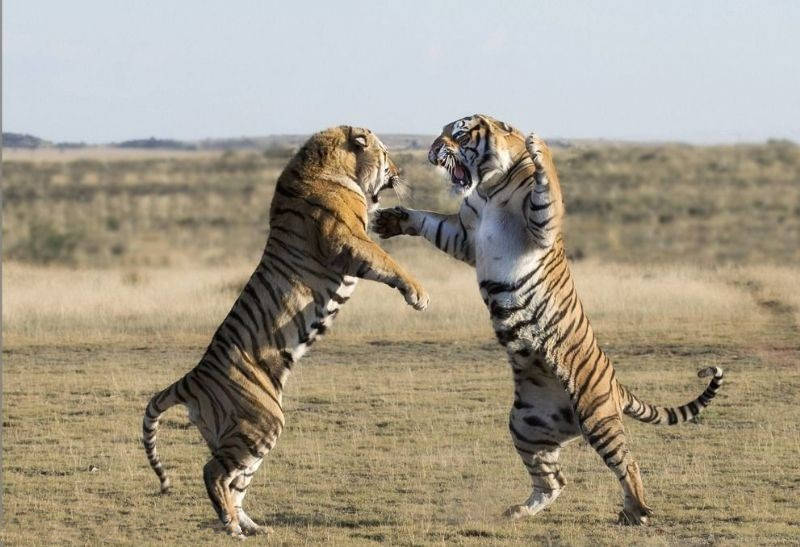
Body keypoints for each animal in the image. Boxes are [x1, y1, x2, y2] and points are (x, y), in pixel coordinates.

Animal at [142, 125, 429, 538]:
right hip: (262, 421)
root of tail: (193, 377)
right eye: (386, 153)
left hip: (244, 434)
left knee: (236, 482)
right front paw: (418, 294)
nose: (400, 170)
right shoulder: (346, 241)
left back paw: (252, 526)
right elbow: (388, 262)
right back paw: (231, 526)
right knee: (214, 473)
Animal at [373, 114, 724, 525]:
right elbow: (432, 222)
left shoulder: (539, 223)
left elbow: (549, 186)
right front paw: (391, 220)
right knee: (554, 481)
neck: (487, 188)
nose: (432, 147)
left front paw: (538, 146)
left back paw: (637, 511)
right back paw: (520, 511)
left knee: (628, 464)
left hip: (595, 415)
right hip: (526, 424)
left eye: (458, 133)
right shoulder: (463, 235)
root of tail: (615, 384)